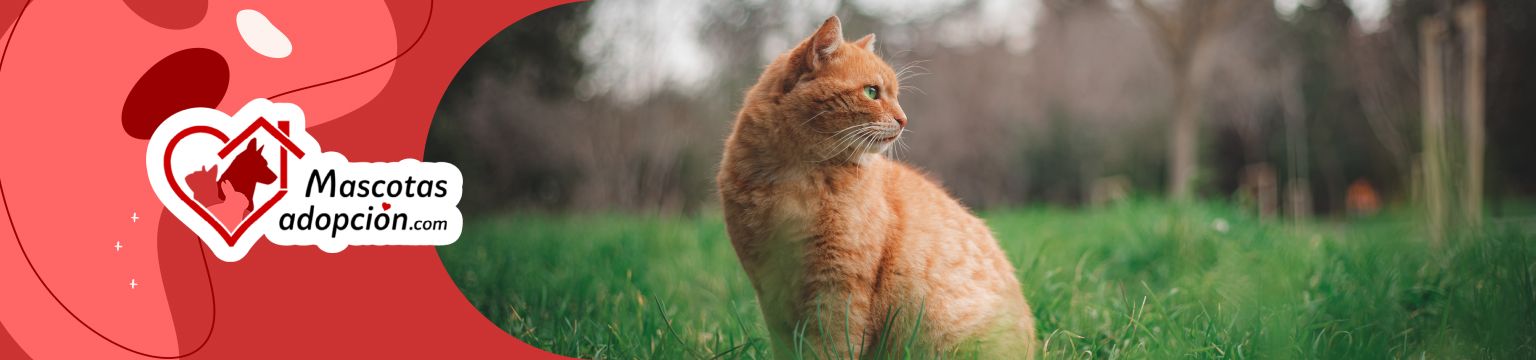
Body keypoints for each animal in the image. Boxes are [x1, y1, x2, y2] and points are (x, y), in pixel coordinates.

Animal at [715, 16, 1032, 356]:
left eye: (895, 95)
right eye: (871, 92)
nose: (904, 119)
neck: (797, 177)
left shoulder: (839, 287)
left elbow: (831, 347)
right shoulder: (770, 289)